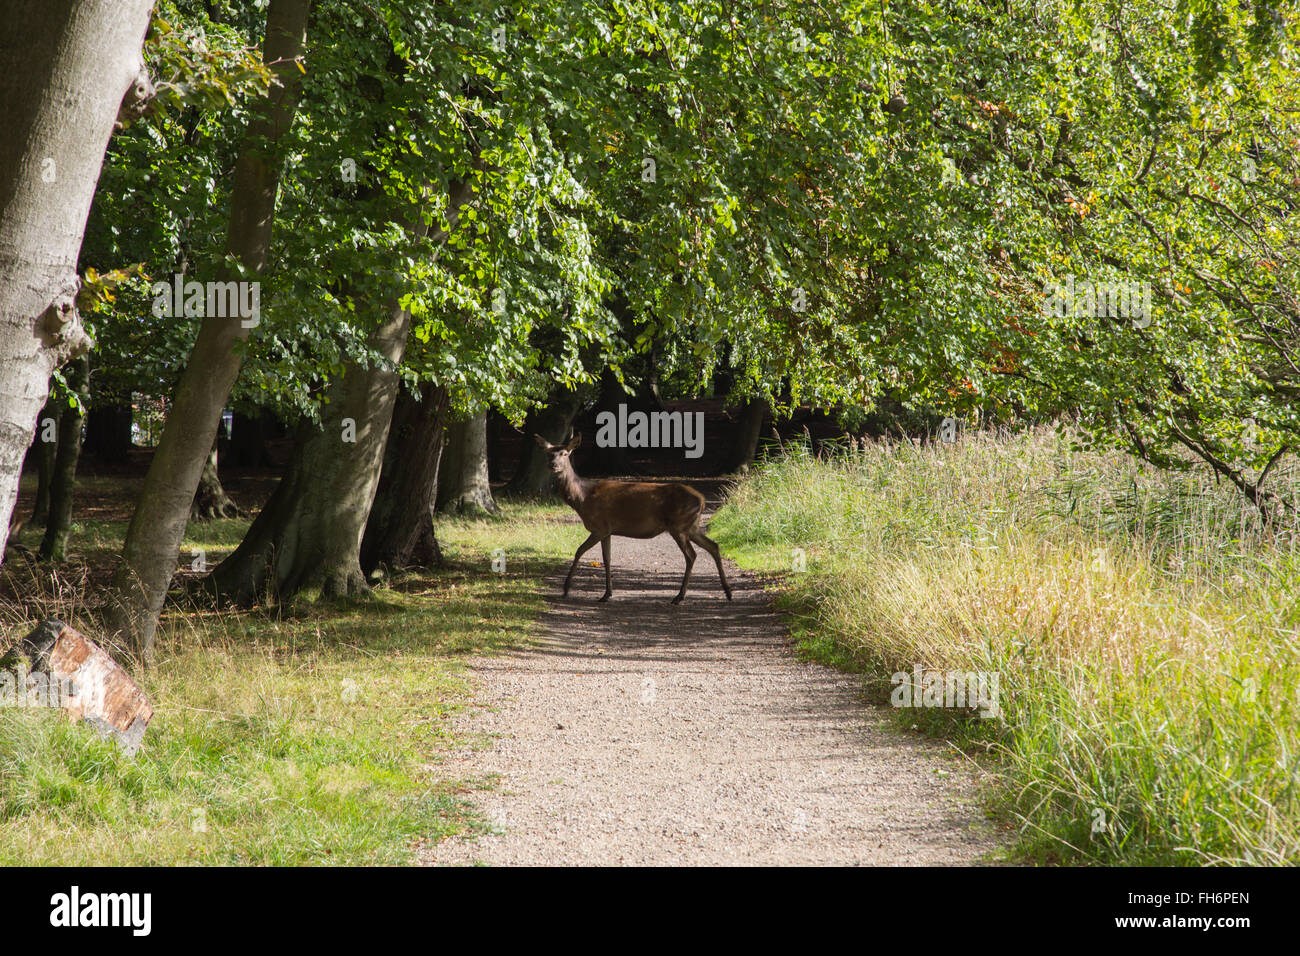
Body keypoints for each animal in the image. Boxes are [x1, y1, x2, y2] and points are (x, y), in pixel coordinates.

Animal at [530, 434, 733, 606]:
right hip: (692, 526)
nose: (553, 465)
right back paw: (727, 592)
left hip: (679, 526)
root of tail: (702, 500)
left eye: (565, 453)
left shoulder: (599, 526)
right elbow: (607, 559)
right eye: (548, 453)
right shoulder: (607, 530)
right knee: (713, 546)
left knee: (691, 555)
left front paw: (566, 589)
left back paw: (679, 597)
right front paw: (607, 594)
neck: (583, 498)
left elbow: (579, 551)